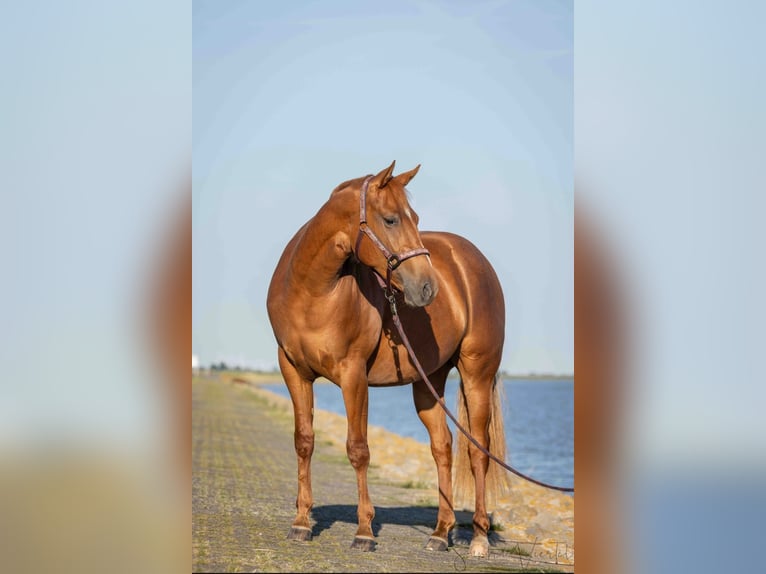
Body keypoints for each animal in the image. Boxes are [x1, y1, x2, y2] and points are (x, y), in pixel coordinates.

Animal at [268, 162, 512, 560]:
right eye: (391, 219)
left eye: (416, 218)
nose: (428, 288)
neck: (313, 293)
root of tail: (475, 261)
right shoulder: (293, 371)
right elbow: (304, 441)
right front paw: (301, 523)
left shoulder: (353, 375)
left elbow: (358, 449)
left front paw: (364, 532)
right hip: (429, 382)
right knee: (443, 448)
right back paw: (440, 534)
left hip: (477, 374)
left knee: (478, 452)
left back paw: (478, 538)